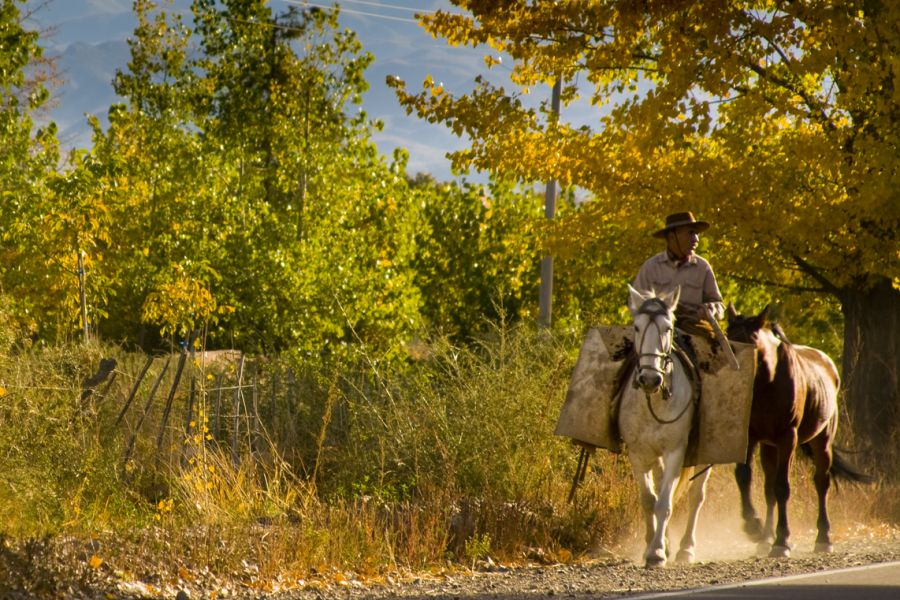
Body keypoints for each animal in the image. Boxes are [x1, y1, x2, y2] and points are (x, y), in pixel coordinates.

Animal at [620, 286, 712, 568]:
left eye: (668, 327)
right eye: (636, 326)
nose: (650, 379)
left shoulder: (674, 453)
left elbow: (665, 503)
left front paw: (658, 552)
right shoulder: (637, 454)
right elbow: (649, 500)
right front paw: (651, 546)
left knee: (695, 496)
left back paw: (685, 548)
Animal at [724, 304, 872, 556]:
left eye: (751, 340)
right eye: (727, 336)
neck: (766, 384)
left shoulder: (788, 438)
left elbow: (783, 487)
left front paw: (782, 541)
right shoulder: (751, 436)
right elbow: (744, 477)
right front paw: (753, 525)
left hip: (821, 441)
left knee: (821, 483)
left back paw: (823, 538)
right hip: (769, 446)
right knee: (769, 489)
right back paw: (765, 538)